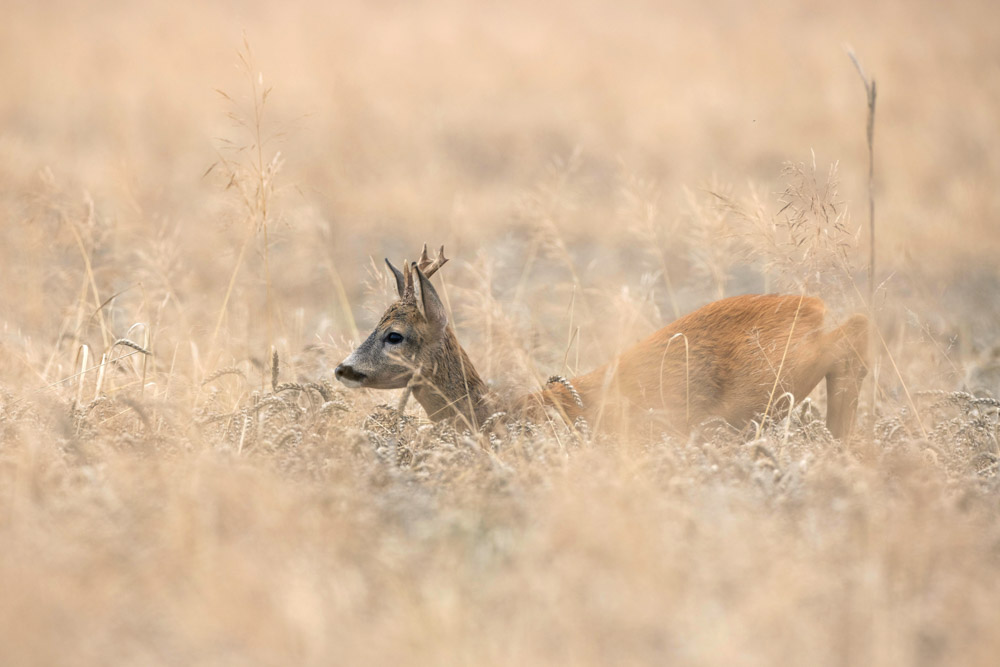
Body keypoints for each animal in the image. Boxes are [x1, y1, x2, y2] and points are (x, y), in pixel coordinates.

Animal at [335, 245, 870, 439]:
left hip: (767, 385)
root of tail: (809, 305)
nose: (343, 368)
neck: (500, 412)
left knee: (855, 329)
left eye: (394, 335)